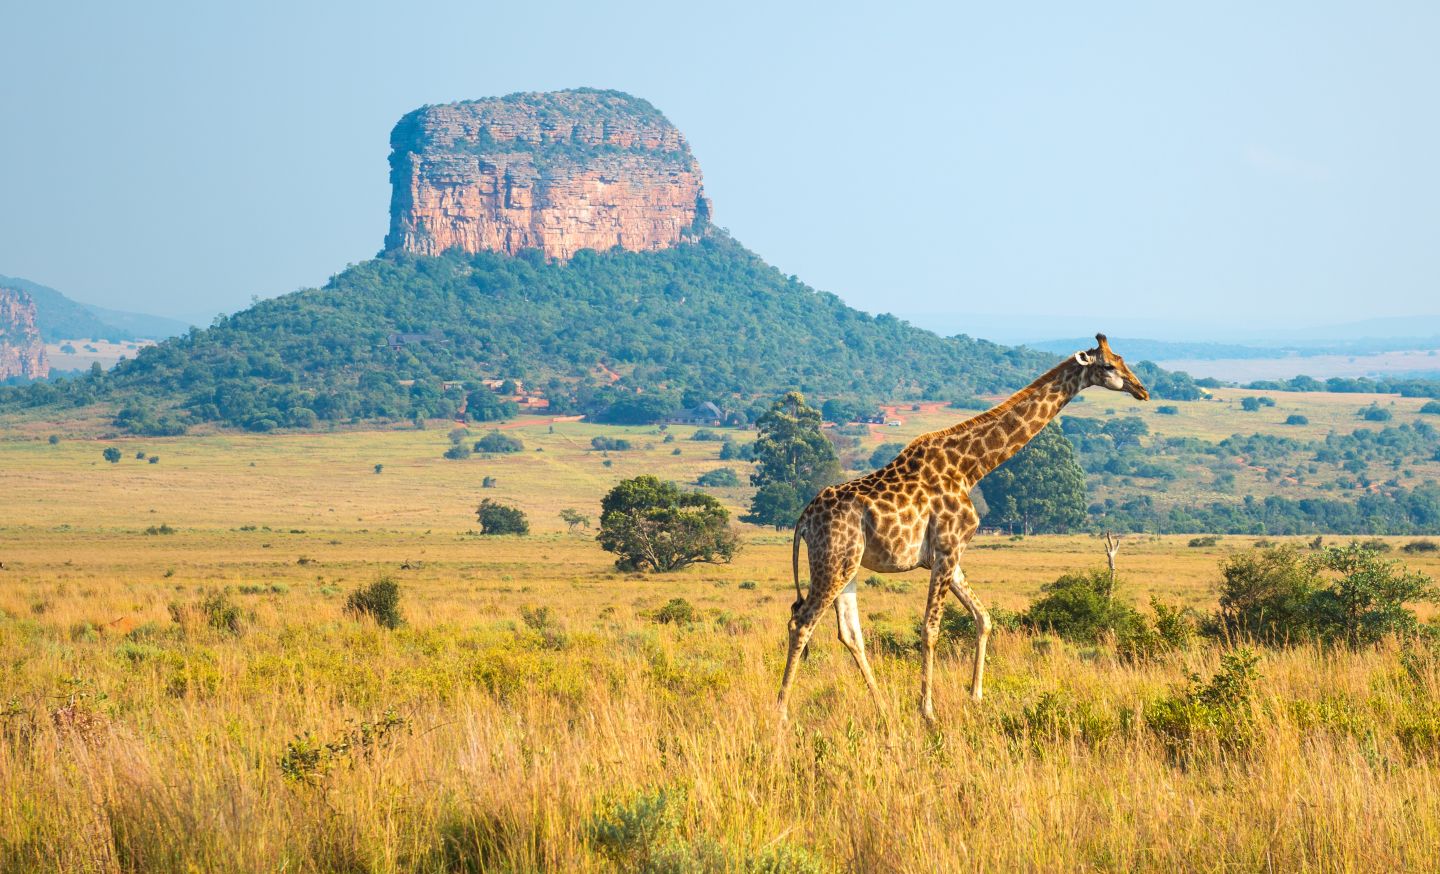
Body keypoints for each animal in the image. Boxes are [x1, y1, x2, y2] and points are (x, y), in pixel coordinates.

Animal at [776, 334, 1149, 723]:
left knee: (849, 633)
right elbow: (930, 628)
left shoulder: (950, 555)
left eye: (1122, 359)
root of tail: (803, 520)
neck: (970, 468)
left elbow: (983, 618)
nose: (1141, 389)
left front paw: (976, 696)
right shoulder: (946, 550)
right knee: (801, 623)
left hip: (848, 565)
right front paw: (927, 710)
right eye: (1107, 365)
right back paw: (782, 711)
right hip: (833, 562)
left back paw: (883, 708)